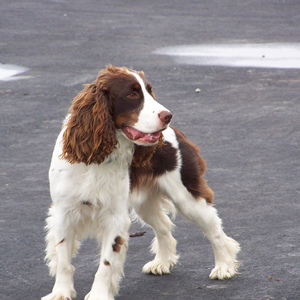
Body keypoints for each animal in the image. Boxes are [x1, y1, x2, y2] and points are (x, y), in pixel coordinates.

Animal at [42, 65, 240, 300]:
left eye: (149, 91)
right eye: (132, 94)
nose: (168, 116)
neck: (98, 158)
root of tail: (178, 133)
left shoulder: (114, 216)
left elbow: (106, 264)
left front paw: (99, 294)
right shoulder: (64, 213)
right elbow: (63, 259)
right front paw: (61, 292)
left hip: (186, 197)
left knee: (214, 227)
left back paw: (224, 266)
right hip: (145, 203)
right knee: (163, 226)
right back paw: (162, 262)